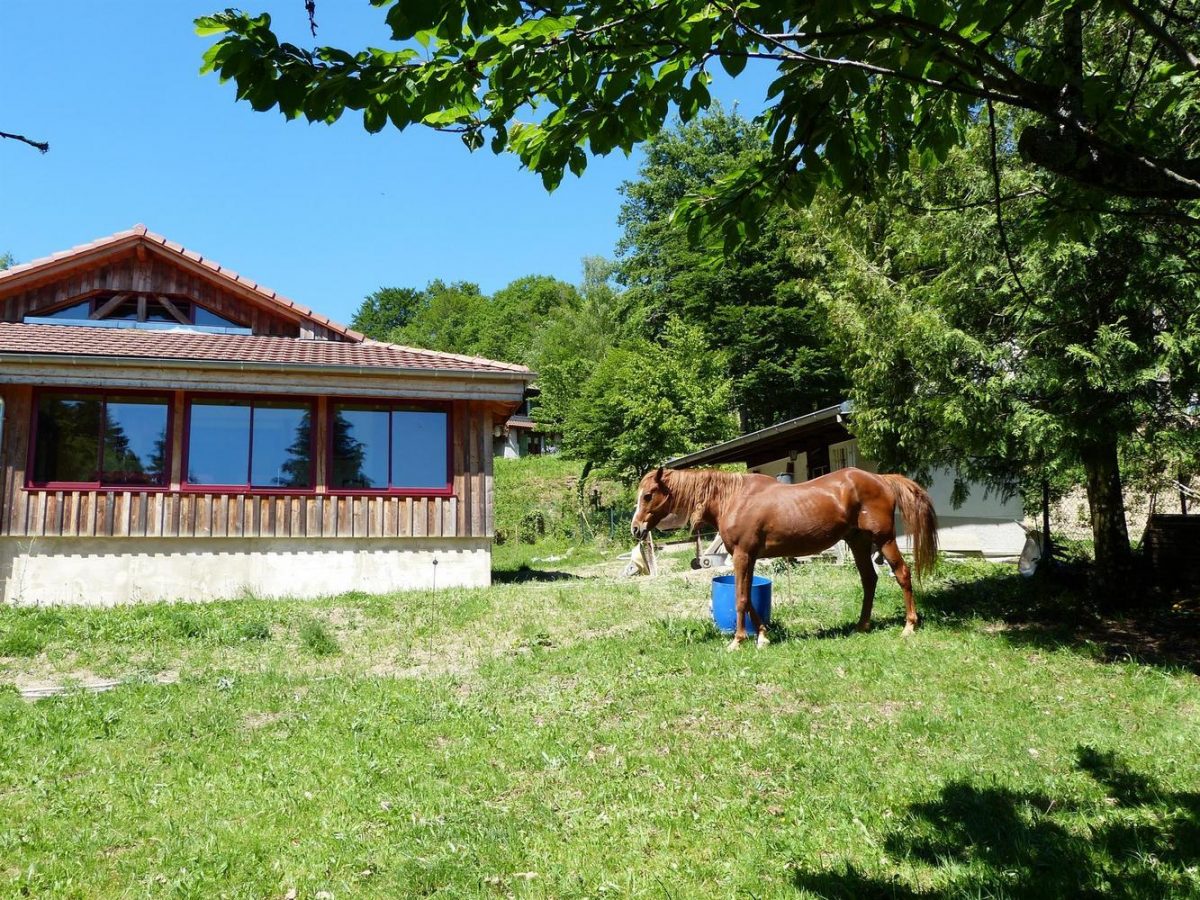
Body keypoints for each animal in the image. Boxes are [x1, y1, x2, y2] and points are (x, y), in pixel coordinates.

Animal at [628, 468, 936, 652]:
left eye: (648, 495)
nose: (636, 529)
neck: (733, 499)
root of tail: (881, 478)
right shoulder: (749, 557)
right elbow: (749, 598)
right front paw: (763, 635)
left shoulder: (742, 555)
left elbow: (741, 598)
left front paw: (738, 641)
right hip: (858, 541)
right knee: (869, 580)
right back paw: (862, 626)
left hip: (884, 539)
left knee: (902, 574)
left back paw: (909, 626)